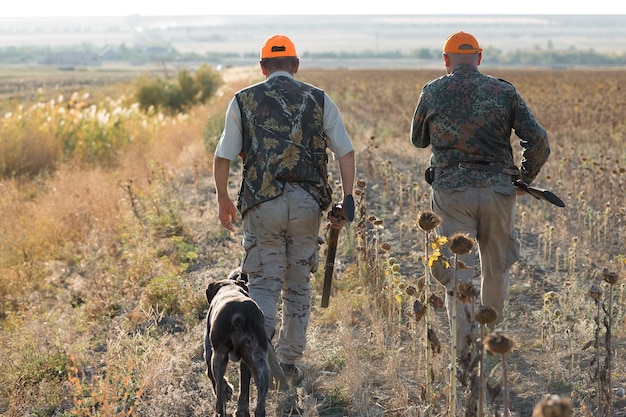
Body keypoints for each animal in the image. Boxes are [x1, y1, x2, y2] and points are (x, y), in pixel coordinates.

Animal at [202, 272, 266, 416]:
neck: (229, 287)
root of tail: (238, 316)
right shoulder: (246, 362)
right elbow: (244, 383)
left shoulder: (209, 351)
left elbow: (212, 376)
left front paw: (227, 389)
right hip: (260, 365)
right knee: (260, 404)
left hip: (218, 358)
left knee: (219, 399)